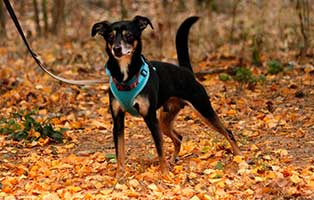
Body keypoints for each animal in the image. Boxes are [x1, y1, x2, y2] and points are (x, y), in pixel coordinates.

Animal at [92, 16, 242, 177]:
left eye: (129, 35)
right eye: (110, 36)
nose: (117, 49)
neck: (126, 76)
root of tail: (186, 71)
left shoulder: (151, 119)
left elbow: (160, 149)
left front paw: (164, 174)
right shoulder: (118, 121)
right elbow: (119, 152)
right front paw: (120, 176)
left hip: (203, 109)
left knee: (228, 132)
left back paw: (239, 157)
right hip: (165, 120)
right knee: (178, 138)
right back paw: (173, 161)